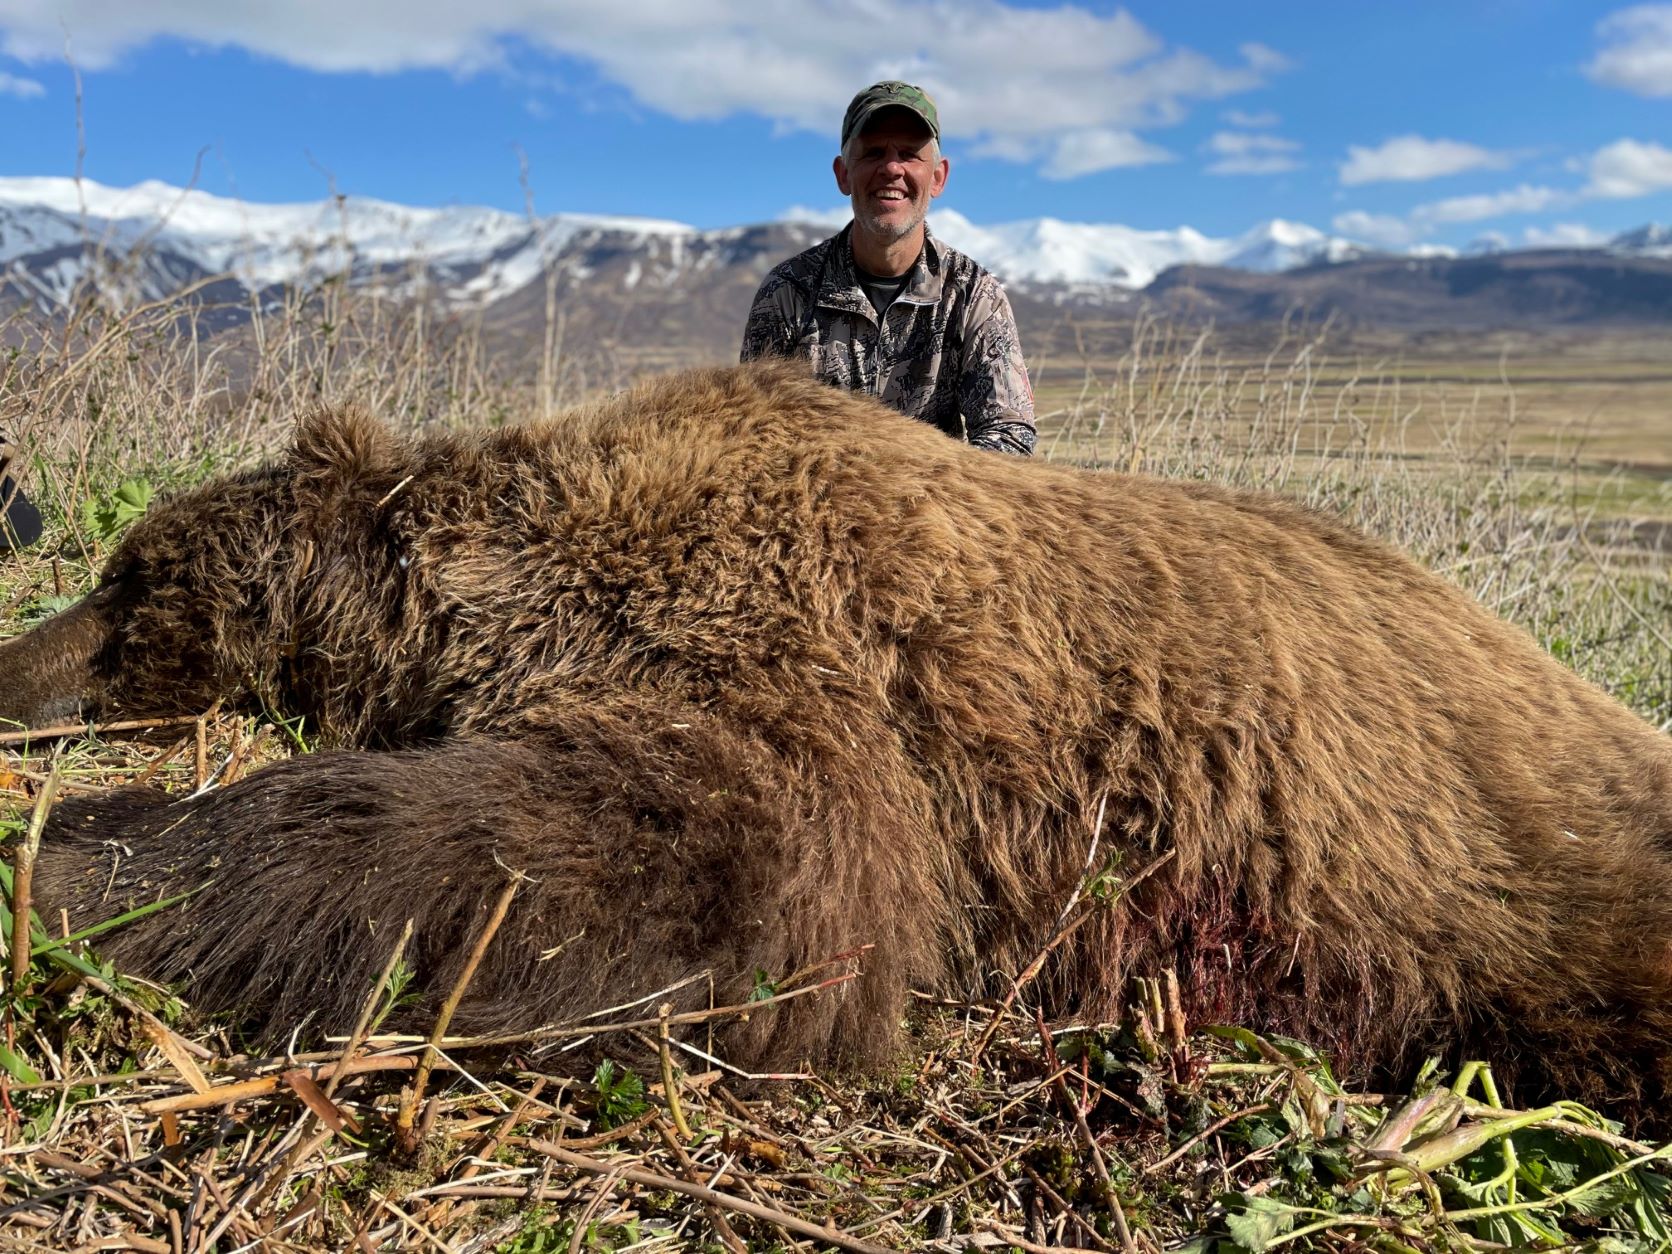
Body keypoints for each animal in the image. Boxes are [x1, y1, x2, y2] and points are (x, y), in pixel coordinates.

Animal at [1, 360, 1670, 1108]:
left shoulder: (793, 644)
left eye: (126, 577)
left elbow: (753, 876)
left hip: (1543, 878)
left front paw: (71, 856)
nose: (13, 664)